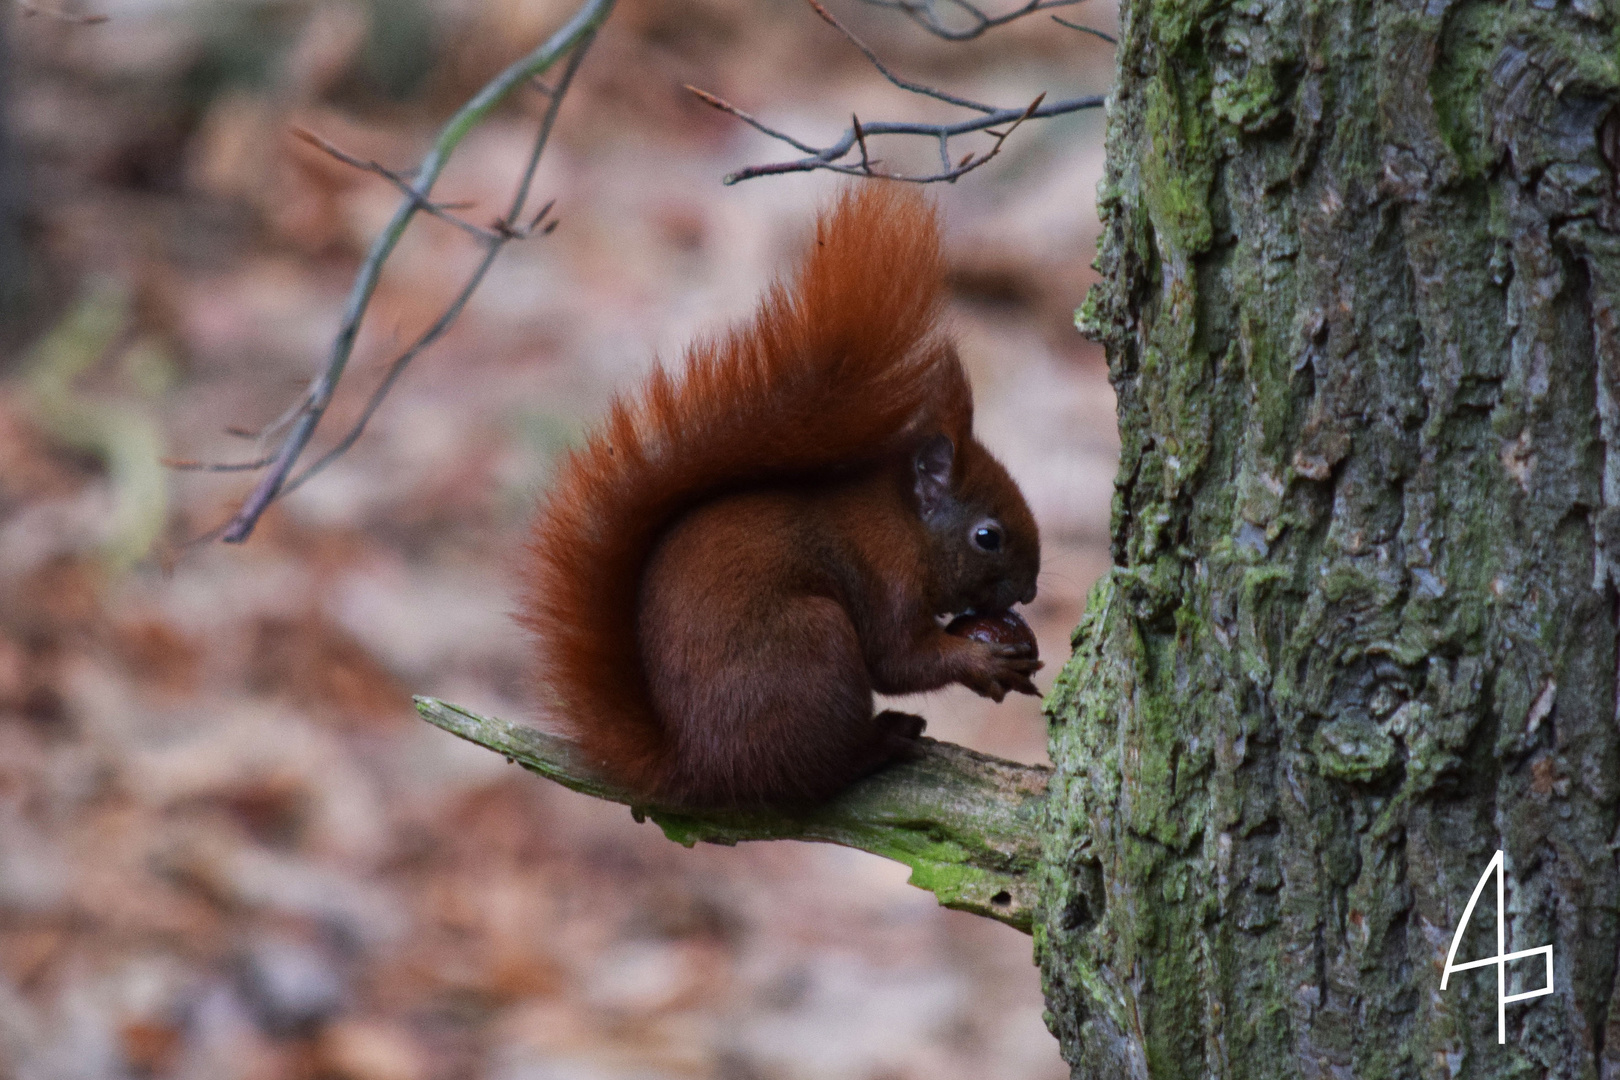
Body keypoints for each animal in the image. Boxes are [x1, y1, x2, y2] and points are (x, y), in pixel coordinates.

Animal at [524, 186, 1043, 809]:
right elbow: (898, 661)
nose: (1031, 591)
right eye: (987, 536)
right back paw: (883, 740)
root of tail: (700, 769)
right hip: (812, 647)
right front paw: (984, 662)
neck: (903, 525)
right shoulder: (886, 580)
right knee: (821, 767)